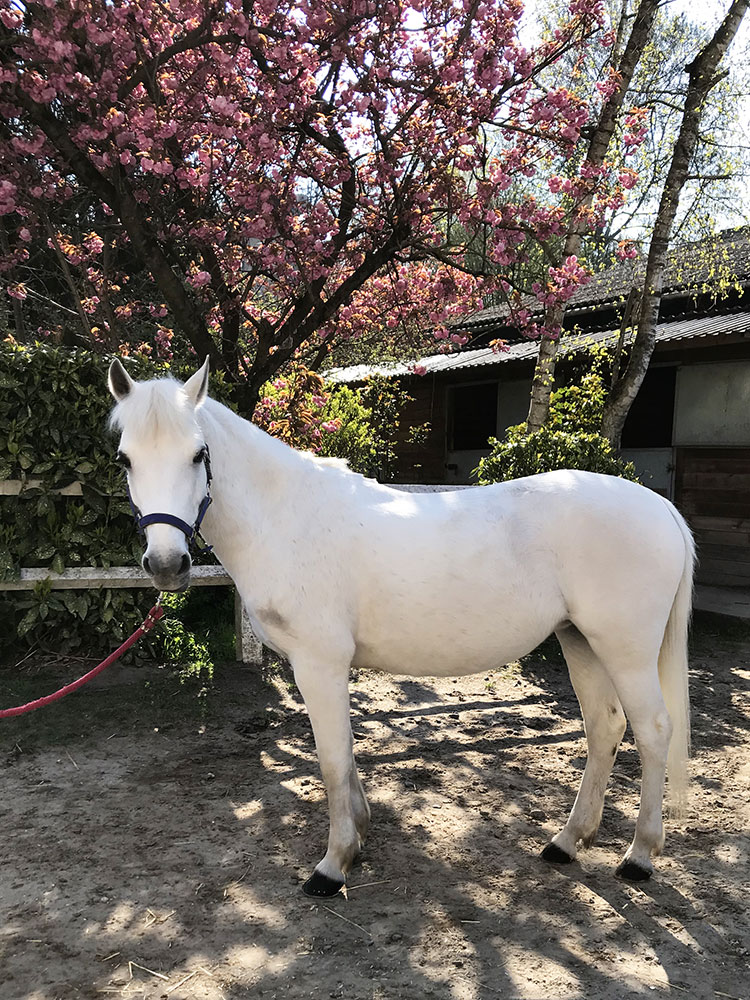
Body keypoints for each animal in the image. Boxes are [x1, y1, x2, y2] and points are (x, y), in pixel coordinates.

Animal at [108, 360, 696, 900]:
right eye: (125, 458)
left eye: (198, 454)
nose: (167, 565)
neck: (287, 520)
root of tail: (661, 506)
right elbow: (345, 753)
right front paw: (360, 836)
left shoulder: (318, 664)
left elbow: (331, 759)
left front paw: (332, 865)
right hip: (580, 641)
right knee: (605, 728)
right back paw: (567, 842)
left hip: (625, 651)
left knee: (652, 731)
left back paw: (639, 856)